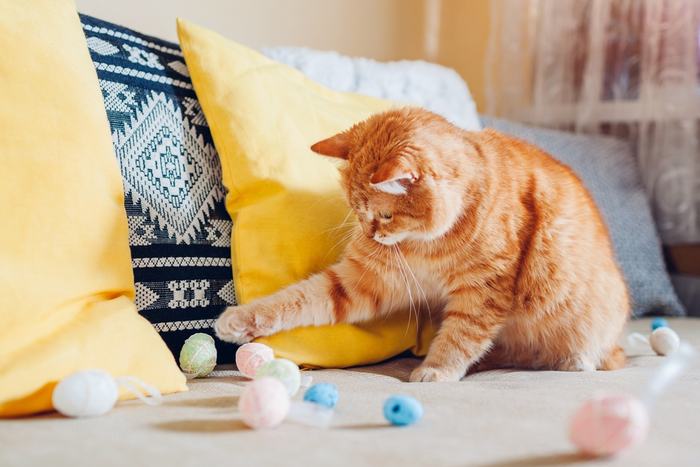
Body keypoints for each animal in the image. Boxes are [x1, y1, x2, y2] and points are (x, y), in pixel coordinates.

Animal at [215, 108, 628, 382]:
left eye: (384, 215)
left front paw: (436, 369)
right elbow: (295, 300)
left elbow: (461, 335)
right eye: (356, 209)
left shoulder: (484, 292)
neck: (429, 244)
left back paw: (573, 361)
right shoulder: (364, 281)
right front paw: (241, 320)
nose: (370, 235)